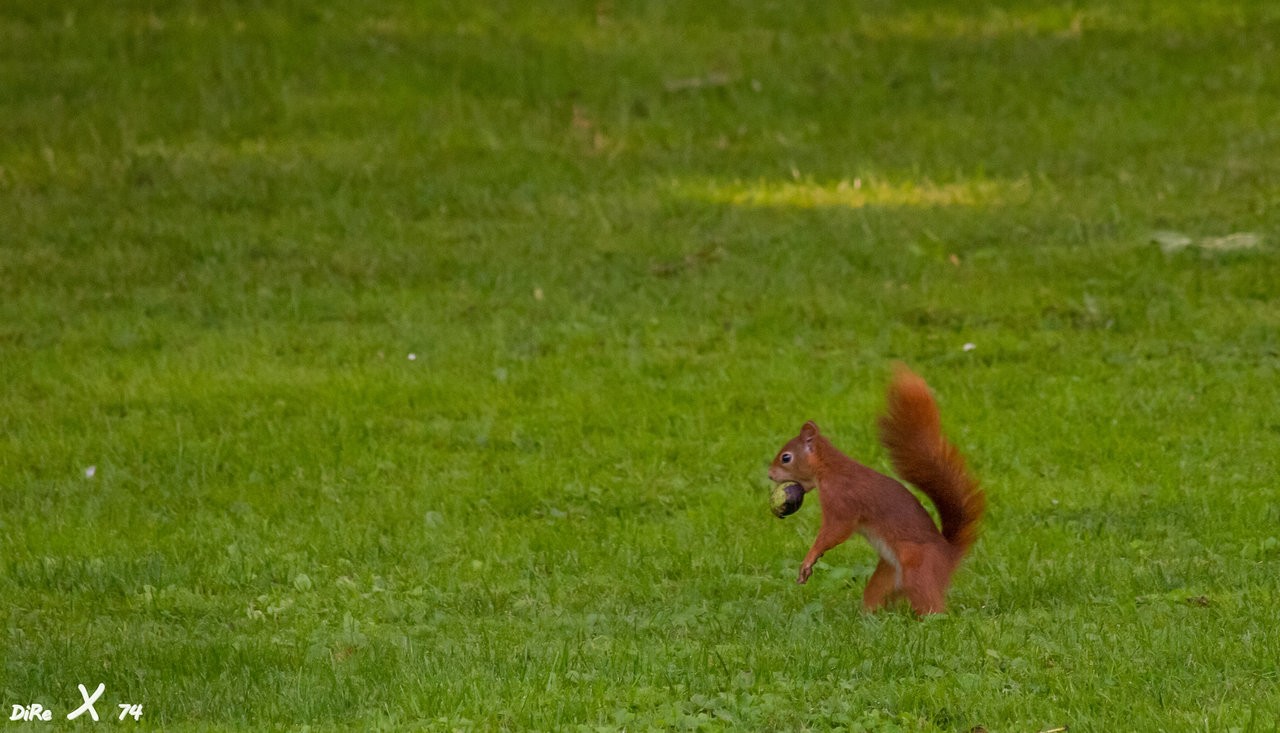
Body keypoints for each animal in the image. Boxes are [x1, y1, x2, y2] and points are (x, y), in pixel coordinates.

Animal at [768, 364, 985, 615]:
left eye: (786, 458)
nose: (770, 474)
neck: (829, 469)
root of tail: (948, 556)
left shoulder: (842, 500)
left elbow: (836, 530)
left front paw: (810, 558)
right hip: (885, 576)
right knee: (876, 596)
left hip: (919, 569)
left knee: (931, 604)